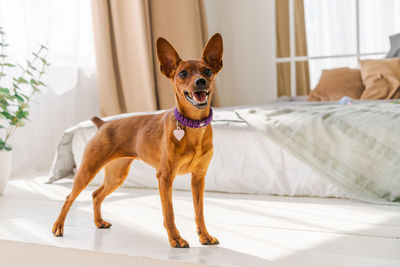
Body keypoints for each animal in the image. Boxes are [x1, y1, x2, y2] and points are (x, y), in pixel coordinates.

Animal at [51, 33, 223, 249]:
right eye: (183, 74)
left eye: (208, 71)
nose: (200, 82)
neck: (192, 127)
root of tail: (103, 124)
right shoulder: (165, 177)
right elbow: (169, 212)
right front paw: (175, 238)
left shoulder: (199, 177)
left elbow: (199, 211)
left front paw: (204, 236)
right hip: (87, 171)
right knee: (69, 198)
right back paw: (58, 227)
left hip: (117, 175)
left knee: (96, 194)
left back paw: (99, 222)